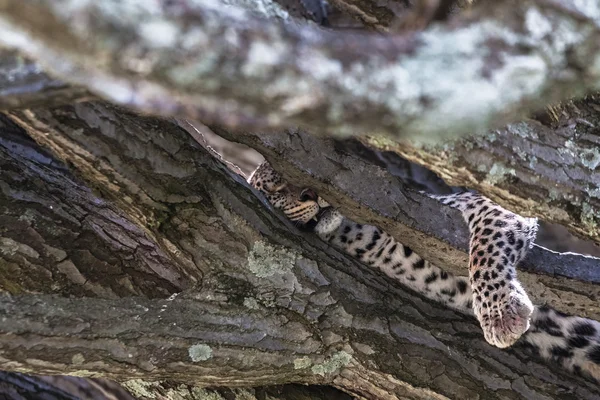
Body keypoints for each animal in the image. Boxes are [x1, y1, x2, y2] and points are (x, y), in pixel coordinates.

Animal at [247, 161, 600, 380]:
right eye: (276, 189)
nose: (312, 191)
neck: (354, 231)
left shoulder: (470, 205)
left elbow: (486, 243)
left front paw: (500, 311)